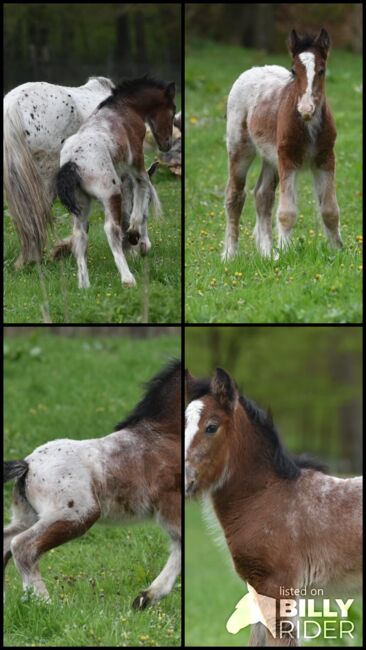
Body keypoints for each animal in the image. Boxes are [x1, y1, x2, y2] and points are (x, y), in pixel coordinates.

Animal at [4, 356, 182, 604]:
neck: (164, 435)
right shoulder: (170, 502)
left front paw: (146, 598)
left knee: (7, 541)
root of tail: (28, 464)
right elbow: (181, 544)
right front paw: (148, 596)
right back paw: (46, 604)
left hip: (28, 516)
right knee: (22, 546)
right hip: (76, 514)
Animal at [56, 76, 176, 286]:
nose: (167, 145)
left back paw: (84, 285)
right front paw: (136, 236)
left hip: (81, 204)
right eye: (172, 112)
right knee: (111, 229)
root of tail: (73, 162)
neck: (125, 108)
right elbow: (142, 187)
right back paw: (127, 278)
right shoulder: (136, 162)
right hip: (110, 194)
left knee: (80, 235)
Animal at [223, 28, 344, 258]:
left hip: (271, 157)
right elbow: (287, 212)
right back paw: (230, 254)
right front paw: (286, 252)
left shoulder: (325, 158)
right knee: (235, 196)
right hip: (240, 148)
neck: (308, 125)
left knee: (263, 195)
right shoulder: (288, 158)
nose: (306, 109)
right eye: (294, 71)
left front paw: (338, 251)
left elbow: (330, 210)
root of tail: (253, 70)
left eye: (321, 70)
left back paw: (267, 253)